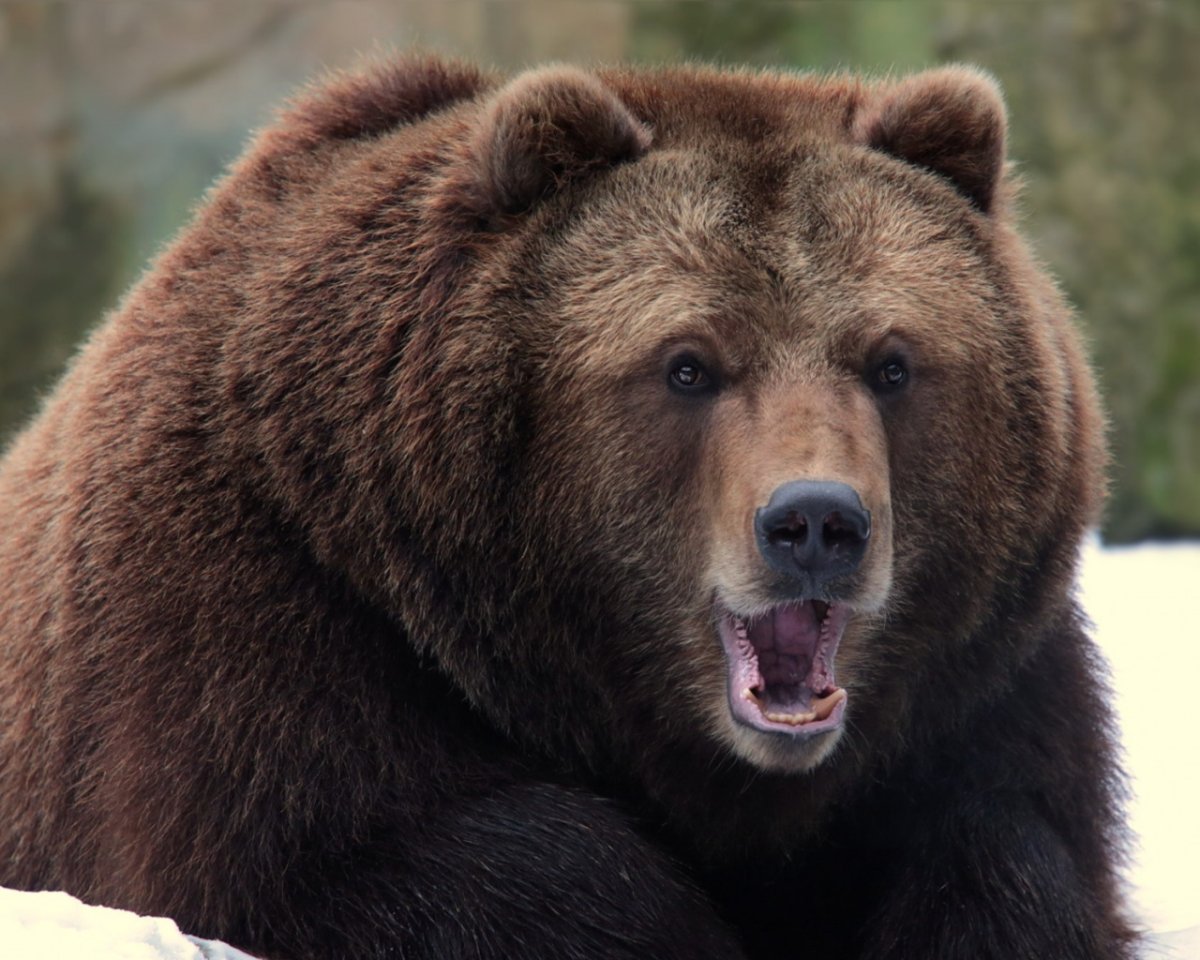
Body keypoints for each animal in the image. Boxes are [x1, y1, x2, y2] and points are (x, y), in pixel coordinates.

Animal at [0, 56, 1135, 959]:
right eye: (687, 364)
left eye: (892, 361)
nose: (817, 523)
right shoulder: (265, 614)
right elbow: (410, 864)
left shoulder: (981, 686)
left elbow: (1005, 853)